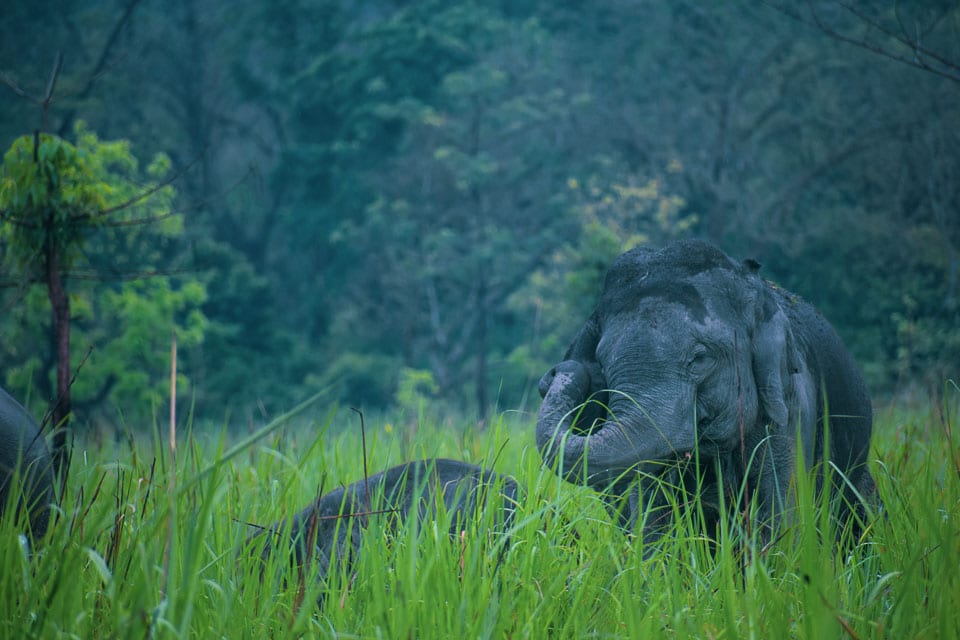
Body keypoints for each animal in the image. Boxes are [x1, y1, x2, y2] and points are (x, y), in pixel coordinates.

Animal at [536, 240, 880, 544]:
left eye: (700, 358)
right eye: (603, 363)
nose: (559, 371)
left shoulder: (791, 406)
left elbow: (781, 513)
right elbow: (652, 517)